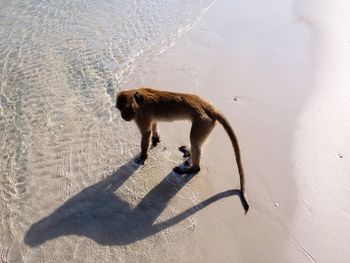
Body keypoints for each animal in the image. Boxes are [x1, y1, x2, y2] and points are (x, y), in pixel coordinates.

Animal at [116, 87, 250, 213]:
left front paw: (143, 156)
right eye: (120, 110)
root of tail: (207, 105)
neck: (137, 97)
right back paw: (189, 154)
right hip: (207, 123)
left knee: (195, 142)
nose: (123, 116)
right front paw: (155, 139)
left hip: (203, 121)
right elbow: (153, 125)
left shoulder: (141, 114)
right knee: (197, 144)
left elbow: (146, 133)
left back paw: (193, 168)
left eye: (124, 109)